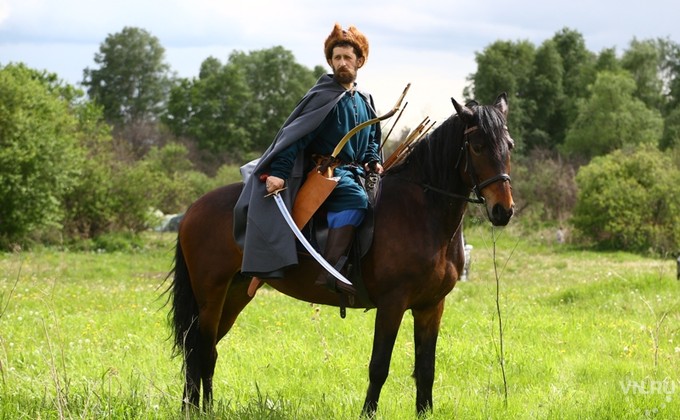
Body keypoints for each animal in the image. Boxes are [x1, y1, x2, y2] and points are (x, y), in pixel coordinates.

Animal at [167, 93, 515, 416]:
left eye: (508, 145)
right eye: (478, 146)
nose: (503, 210)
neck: (423, 210)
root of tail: (193, 210)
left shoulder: (431, 306)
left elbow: (426, 369)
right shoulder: (392, 304)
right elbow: (379, 366)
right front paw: (368, 413)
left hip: (235, 294)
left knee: (205, 350)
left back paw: (202, 408)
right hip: (210, 296)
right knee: (200, 350)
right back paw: (195, 410)